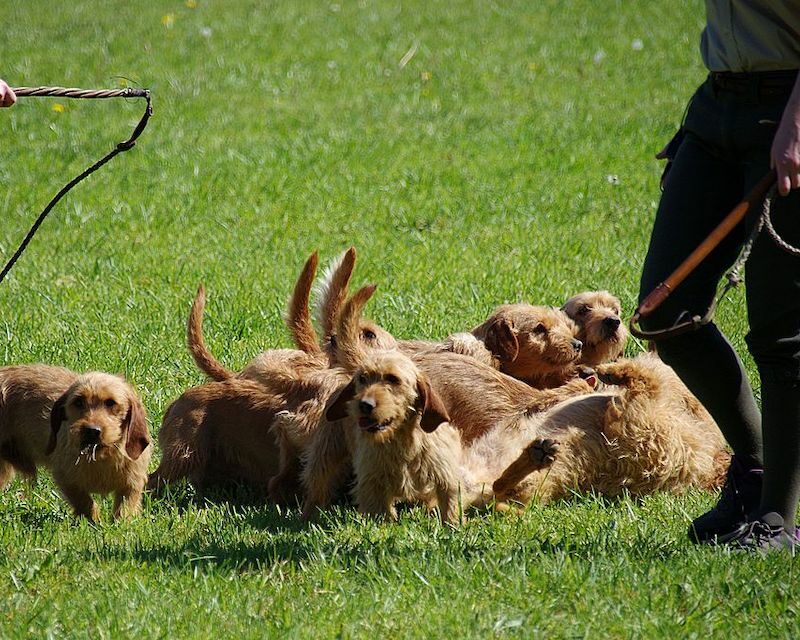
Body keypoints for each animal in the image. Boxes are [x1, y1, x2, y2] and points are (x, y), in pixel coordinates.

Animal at [48, 370, 152, 520]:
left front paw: (120, 523)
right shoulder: (66, 479)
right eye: (78, 402)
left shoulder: (132, 482)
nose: (92, 431)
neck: (102, 456)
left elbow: (124, 509)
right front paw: (94, 520)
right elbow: (84, 501)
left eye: (111, 402)